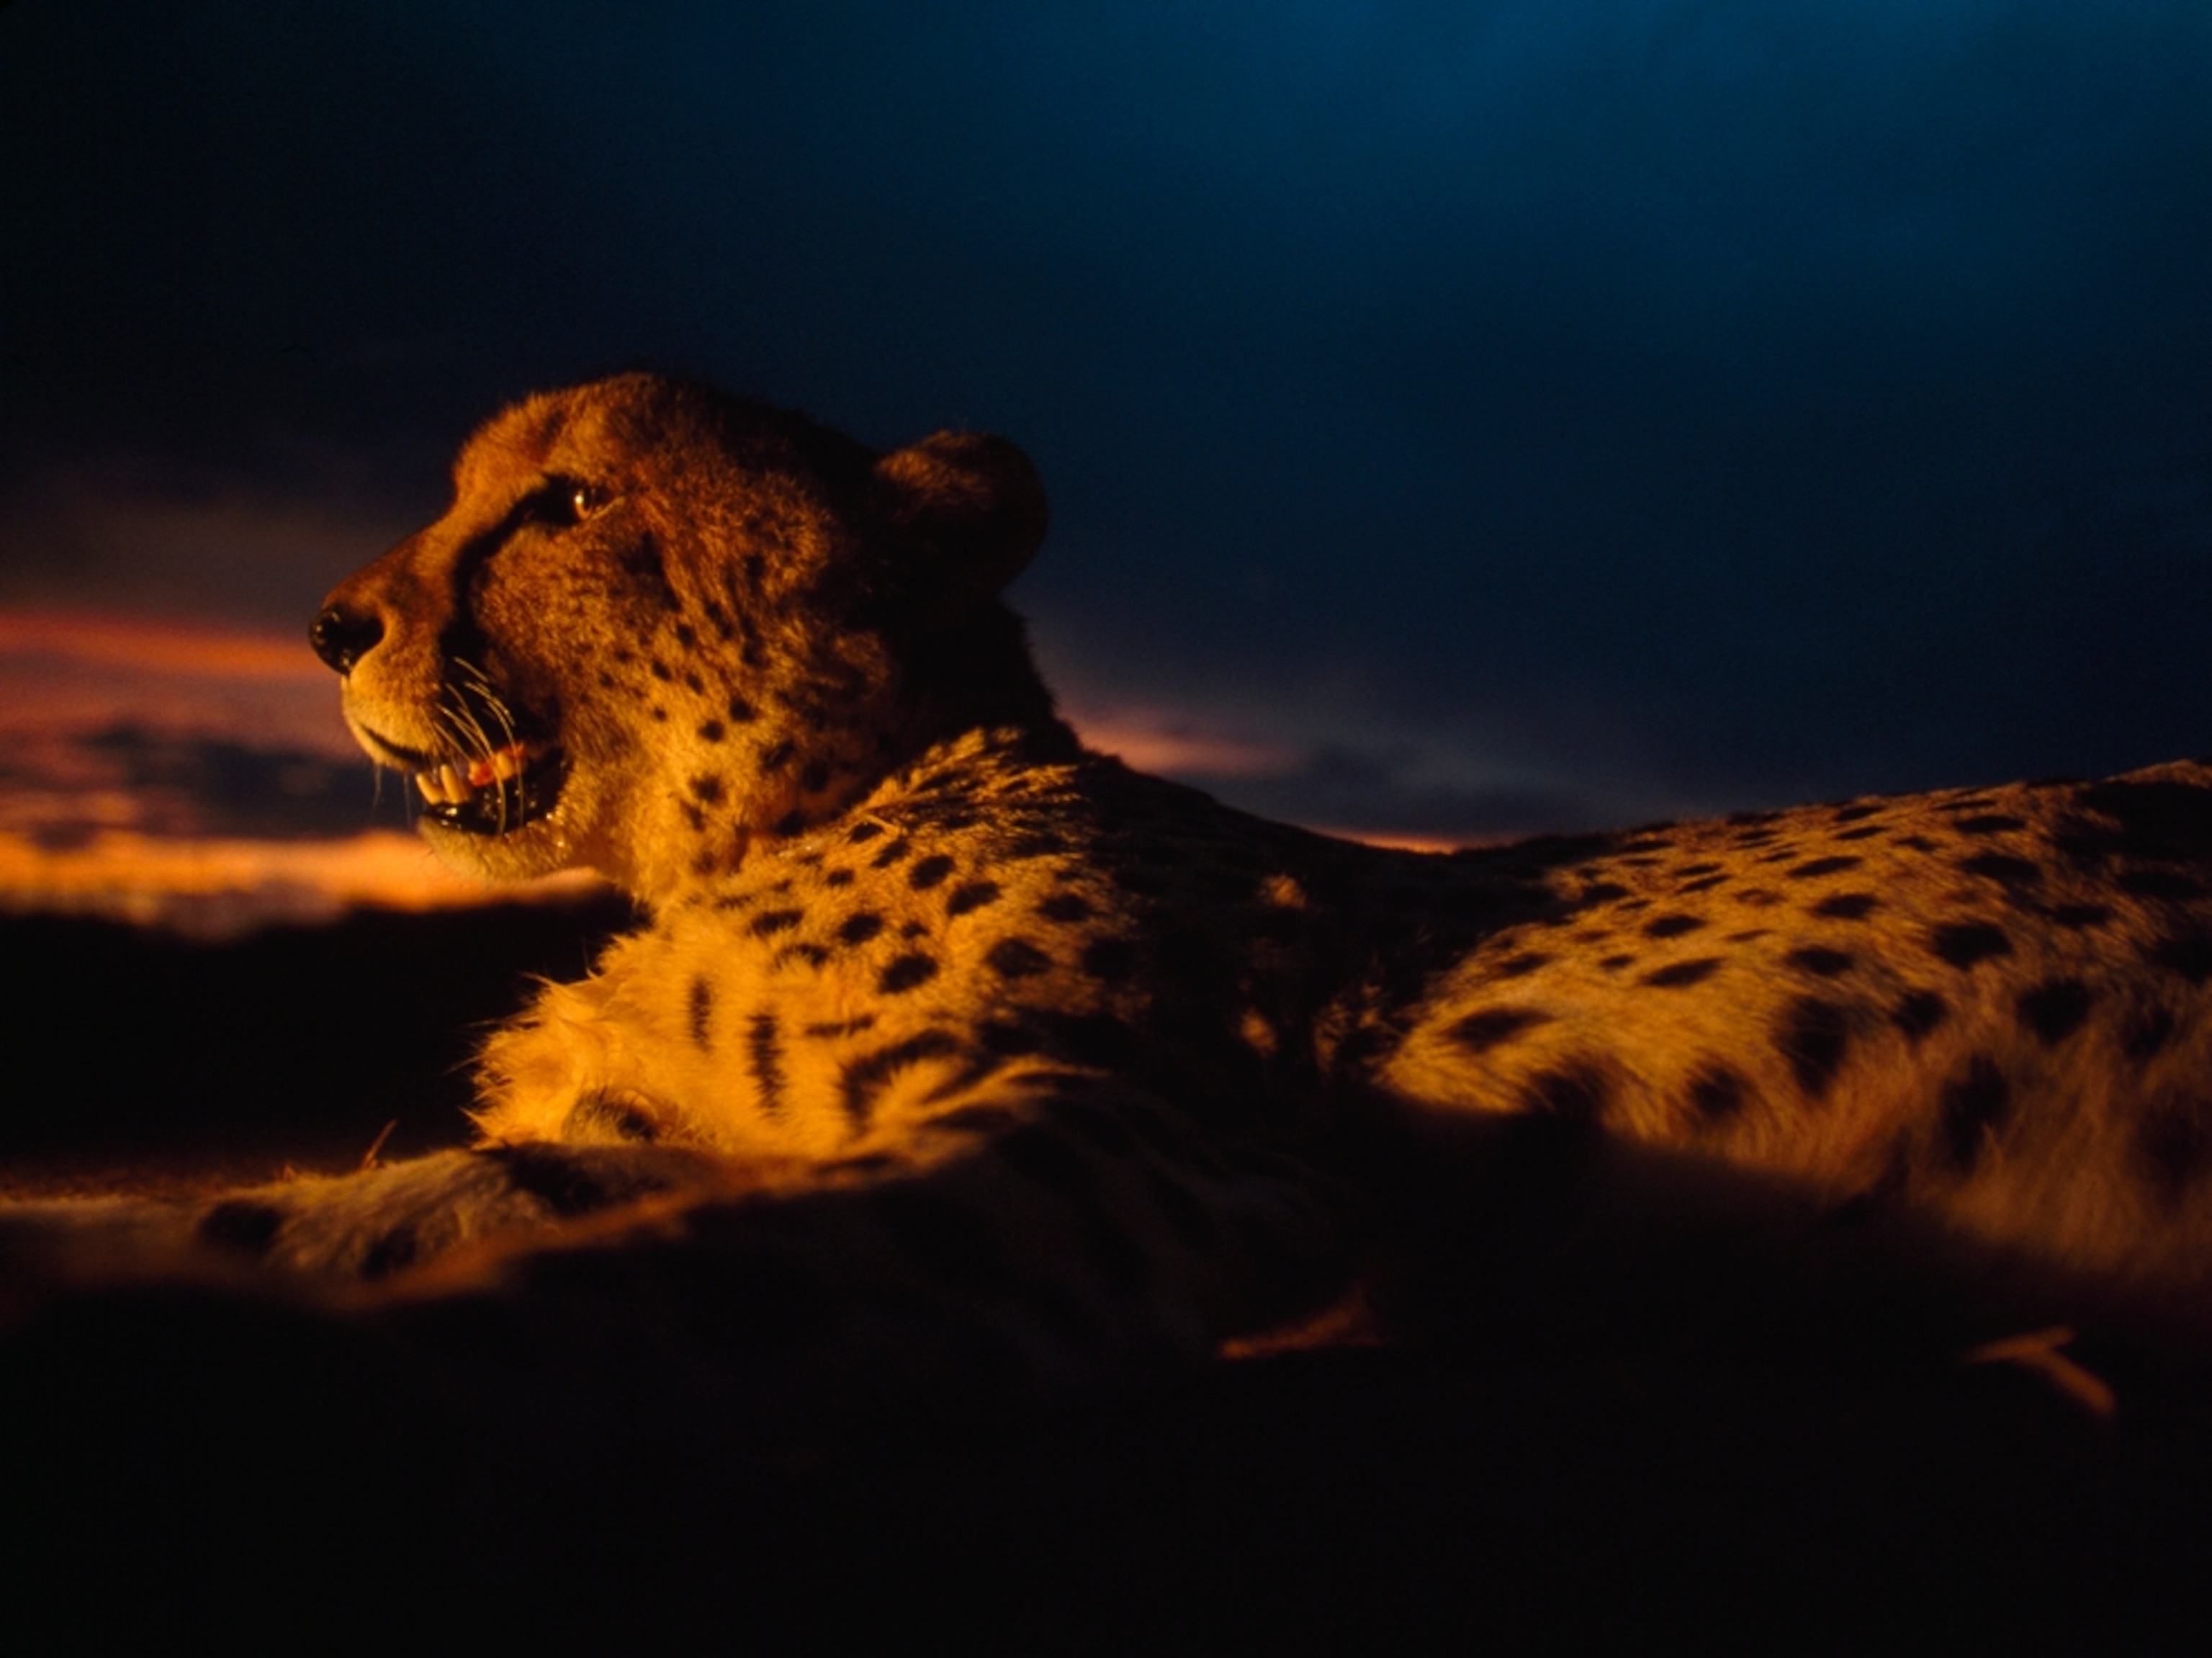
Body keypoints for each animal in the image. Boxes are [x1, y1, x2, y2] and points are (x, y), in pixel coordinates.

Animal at [13, 370, 2212, 1392]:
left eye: (562, 502)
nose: (324, 623)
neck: (791, 807)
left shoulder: (1164, 1143)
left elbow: (703, 1261)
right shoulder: (700, 1120)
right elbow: (387, 1189)